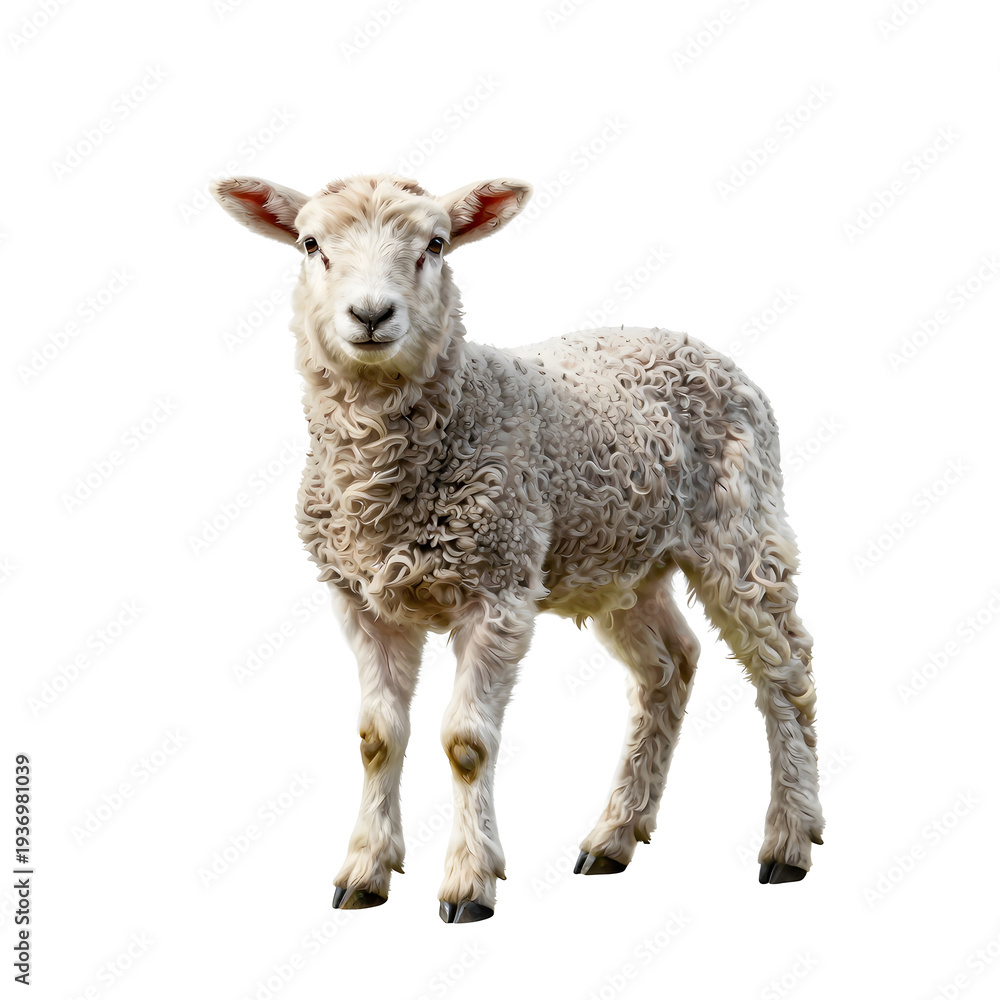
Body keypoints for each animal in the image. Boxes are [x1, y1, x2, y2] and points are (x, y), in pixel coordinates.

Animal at [211, 172, 825, 923]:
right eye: (310, 244)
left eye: (436, 244)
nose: (372, 314)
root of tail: (690, 341)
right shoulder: (360, 598)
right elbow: (377, 740)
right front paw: (364, 872)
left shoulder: (497, 589)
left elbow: (466, 744)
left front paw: (469, 882)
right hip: (621, 561)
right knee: (669, 666)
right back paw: (615, 836)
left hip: (740, 524)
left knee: (785, 671)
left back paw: (789, 840)